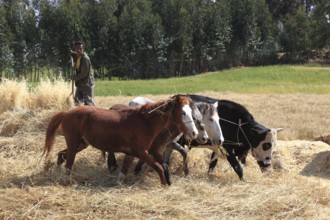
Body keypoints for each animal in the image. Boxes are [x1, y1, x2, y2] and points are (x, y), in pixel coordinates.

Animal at [42, 94, 197, 186]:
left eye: (191, 112)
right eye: (183, 112)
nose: (194, 133)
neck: (145, 122)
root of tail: (67, 113)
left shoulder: (133, 153)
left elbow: (125, 170)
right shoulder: (142, 152)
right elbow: (158, 166)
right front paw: (164, 183)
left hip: (81, 143)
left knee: (62, 155)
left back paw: (57, 172)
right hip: (74, 143)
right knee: (68, 164)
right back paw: (66, 179)